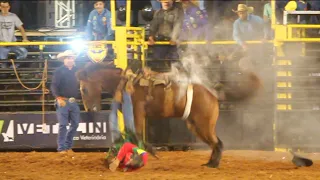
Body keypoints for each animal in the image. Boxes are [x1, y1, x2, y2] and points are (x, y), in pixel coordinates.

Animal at [75, 61, 262, 167]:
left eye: (84, 89)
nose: (90, 110)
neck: (126, 84)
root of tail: (213, 94)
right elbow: (129, 135)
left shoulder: (138, 113)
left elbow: (136, 134)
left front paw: (147, 154)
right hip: (196, 126)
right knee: (216, 143)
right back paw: (210, 162)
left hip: (204, 125)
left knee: (218, 143)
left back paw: (213, 165)